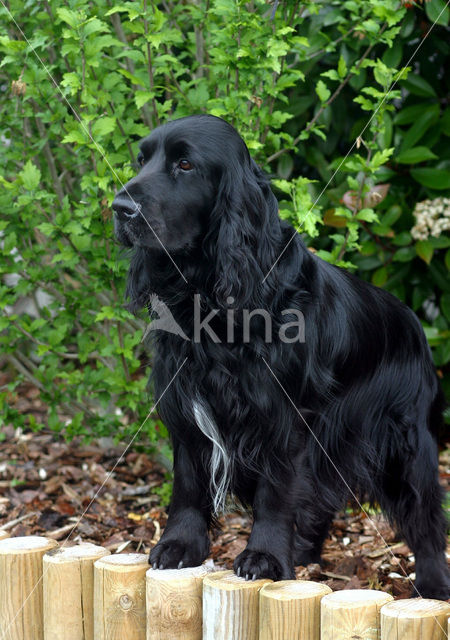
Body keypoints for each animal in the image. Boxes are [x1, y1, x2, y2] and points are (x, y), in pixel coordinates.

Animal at [113, 112, 450, 596]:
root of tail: (412, 319)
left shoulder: (284, 418)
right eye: (142, 160)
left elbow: (276, 492)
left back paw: (433, 583)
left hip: (405, 444)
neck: (211, 296)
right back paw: (306, 554)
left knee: (425, 517)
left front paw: (266, 557)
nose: (120, 208)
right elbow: (189, 483)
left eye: (185, 164)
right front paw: (180, 545)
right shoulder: (186, 405)